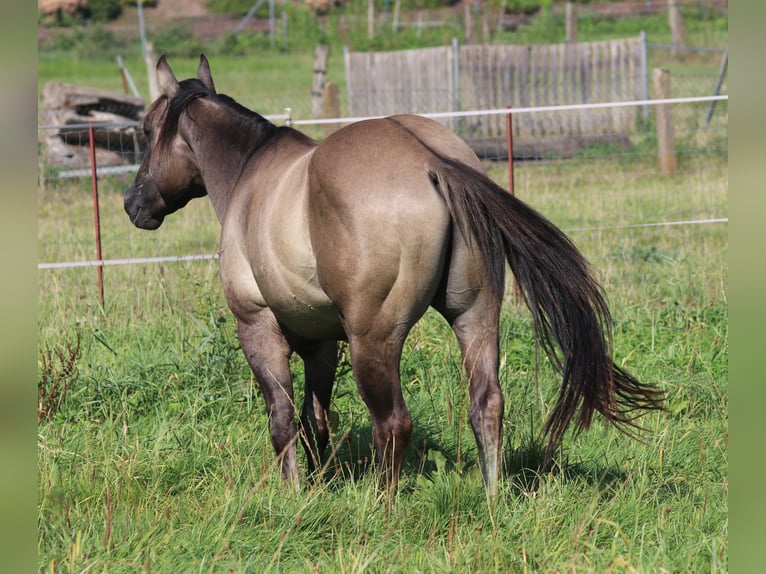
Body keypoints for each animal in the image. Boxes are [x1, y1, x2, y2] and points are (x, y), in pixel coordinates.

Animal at [123, 54, 664, 498]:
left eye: (147, 131)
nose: (133, 204)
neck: (250, 175)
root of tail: (430, 160)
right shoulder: (321, 343)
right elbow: (316, 421)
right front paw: (317, 487)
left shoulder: (258, 328)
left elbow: (283, 421)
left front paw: (294, 495)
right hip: (474, 317)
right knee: (486, 404)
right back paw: (492, 500)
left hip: (374, 341)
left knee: (393, 423)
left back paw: (381, 510)